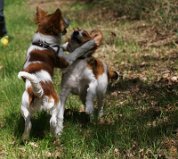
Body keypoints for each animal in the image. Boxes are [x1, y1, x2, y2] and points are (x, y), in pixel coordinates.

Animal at [17, 7, 97, 140]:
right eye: (63, 20)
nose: (69, 20)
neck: (42, 41)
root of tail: (38, 92)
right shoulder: (65, 60)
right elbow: (77, 51)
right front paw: (89, 44)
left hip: (24, 107)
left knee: (28, 123)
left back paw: (25, 137)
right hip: (55, 103)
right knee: (53, 120)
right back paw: (57, 134)